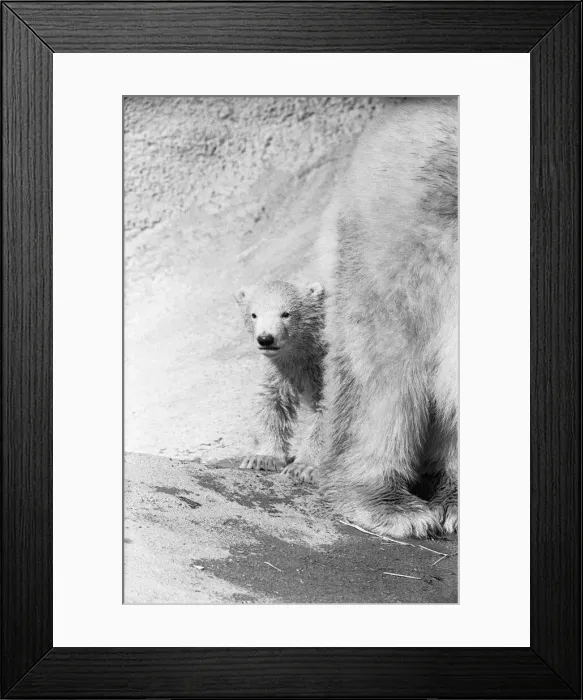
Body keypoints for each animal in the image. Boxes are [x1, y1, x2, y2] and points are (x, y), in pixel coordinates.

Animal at [235, 280, 327, 483]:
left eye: (286, 314)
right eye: (254, 314)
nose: (266, 339)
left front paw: (303, 468)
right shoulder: (281, 369)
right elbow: (271, 401)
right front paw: (263, 459)